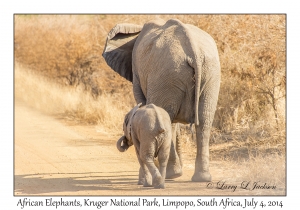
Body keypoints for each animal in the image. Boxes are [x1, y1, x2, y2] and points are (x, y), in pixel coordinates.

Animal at [103, 18, 220, 182]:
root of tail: (194, 52)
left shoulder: (137, 71)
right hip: (208, 73)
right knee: (204, 121)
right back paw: (199, 178)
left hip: (168, 74)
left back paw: (173, 175)